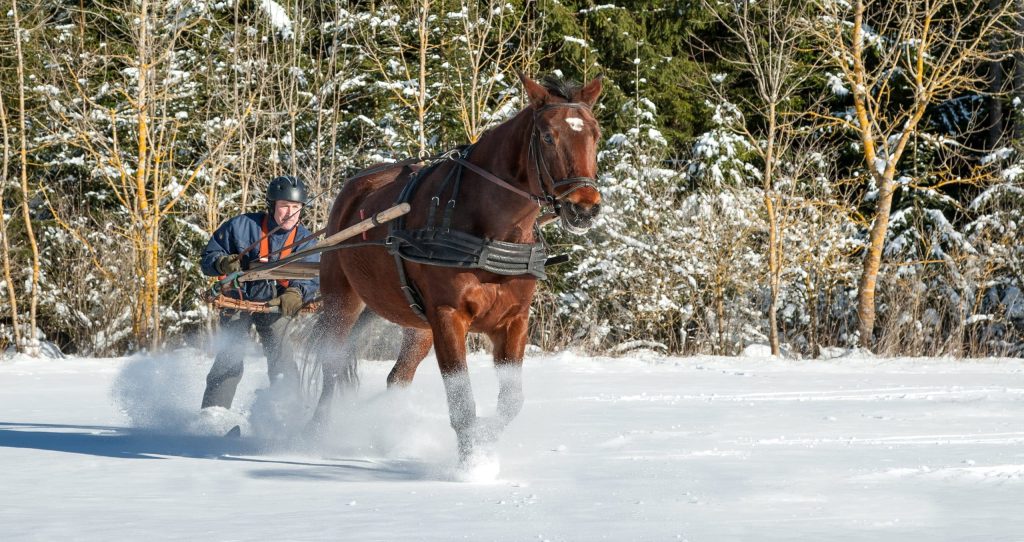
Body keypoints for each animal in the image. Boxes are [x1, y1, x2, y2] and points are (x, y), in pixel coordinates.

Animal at [310, 72, 603, 463]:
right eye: (547, 136)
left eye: (594, 133)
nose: (584, 208)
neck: (491, 231)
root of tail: (354, 189)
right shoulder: (449, 316)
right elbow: (462, 404)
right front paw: (471, 465)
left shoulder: (513, 320)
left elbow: (511, 402)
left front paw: (485, 443)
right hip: (341, 301)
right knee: (331, 366)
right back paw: (318, 433)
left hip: (418, 325)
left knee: (398, 377)